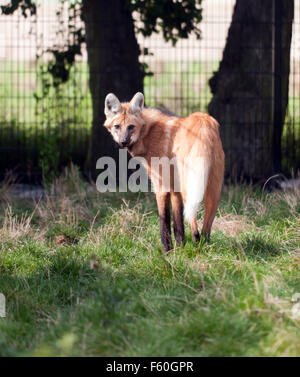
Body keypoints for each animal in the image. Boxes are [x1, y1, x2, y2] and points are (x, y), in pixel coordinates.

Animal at [104, 91, 224, 253]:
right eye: (117, 126)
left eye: (131, 127)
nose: (123, 141)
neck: (148, 132)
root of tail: (204, 120)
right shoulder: (174, 187)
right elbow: (178, 223)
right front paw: (180, 249)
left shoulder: (161, 186)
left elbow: (164, 221)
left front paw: (167, 251)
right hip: (213, 188)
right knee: (206, 228)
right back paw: (203, 246)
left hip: (189, 187)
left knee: (194, 224)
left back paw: (196, 242)